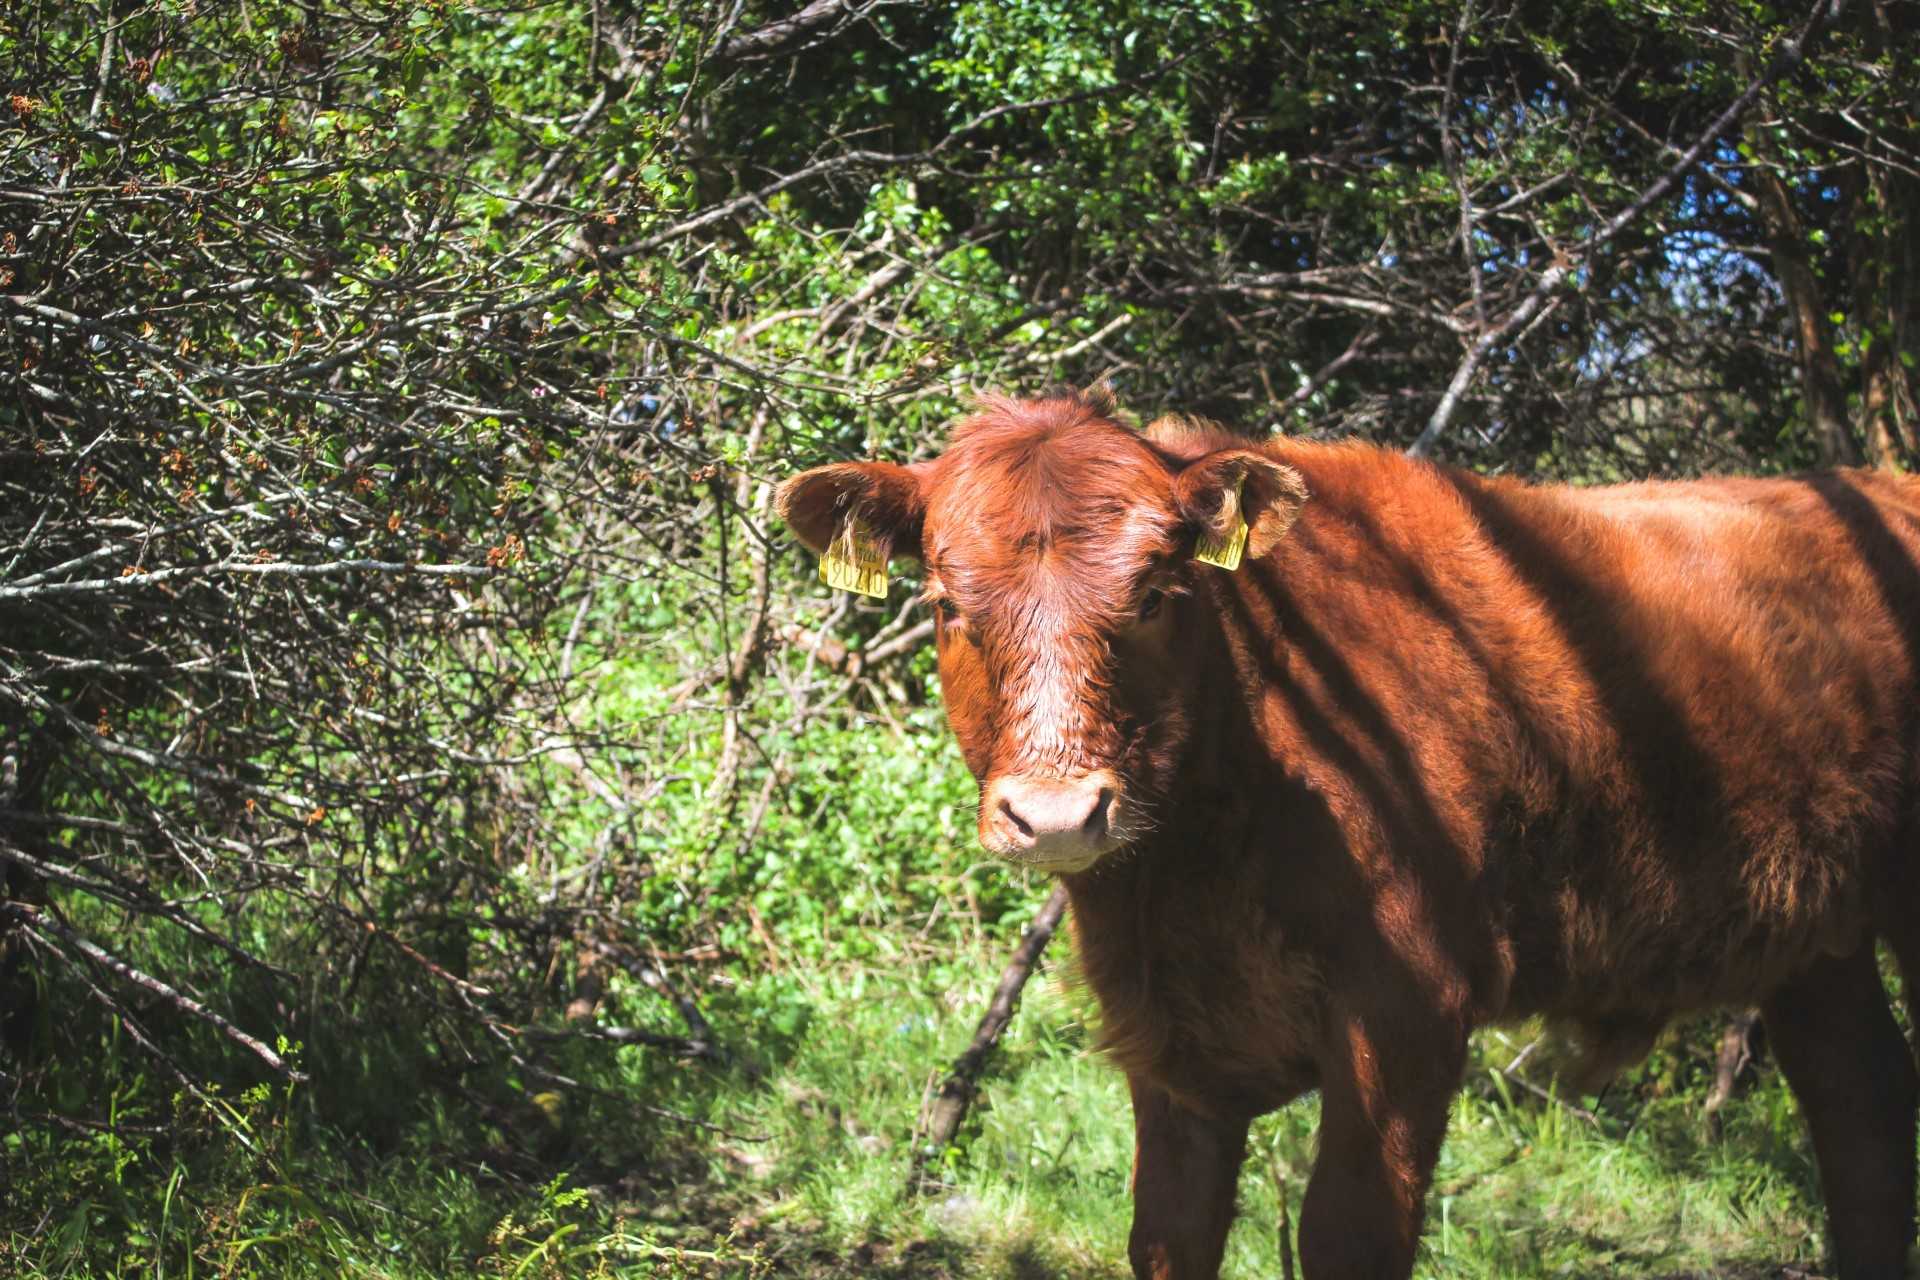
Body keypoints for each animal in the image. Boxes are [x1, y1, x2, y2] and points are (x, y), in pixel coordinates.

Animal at [771, 393, 1920, 1280]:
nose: (1056, 813)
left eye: (1156, 592)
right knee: (1865, 1116)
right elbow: (1168, 1237)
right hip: (1818, 941)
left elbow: (1349, 1236)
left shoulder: (1408, 1007)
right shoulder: (1170, 1039)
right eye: (945, 600)